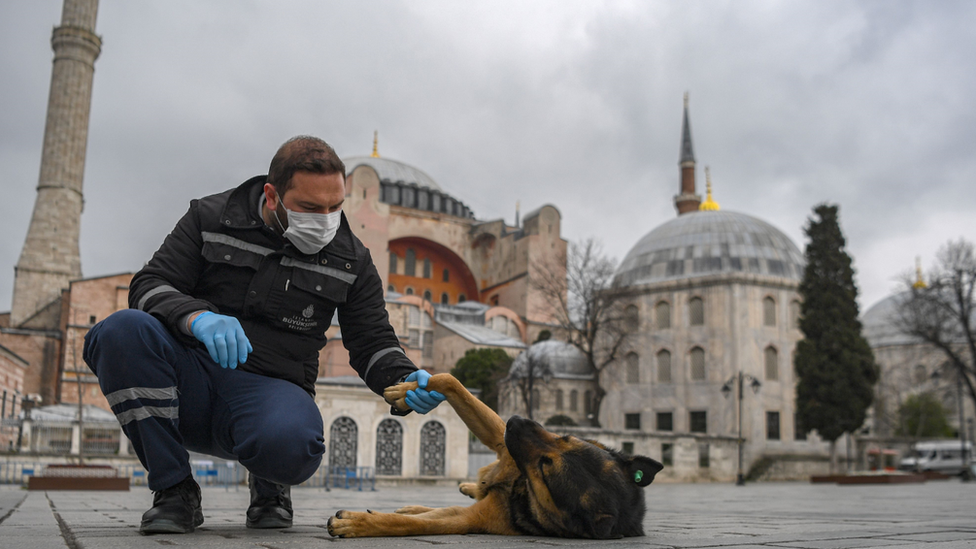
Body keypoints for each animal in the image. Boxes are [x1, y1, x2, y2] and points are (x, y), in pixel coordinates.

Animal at [328, 370, 664, 536]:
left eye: (546, 467)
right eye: (566, 437)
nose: (516, 419)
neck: (519, 486)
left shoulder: (470, 519)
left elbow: (415, 524)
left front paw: (358, 523)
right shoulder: (501, 442)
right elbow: (449, 380)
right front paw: (407, 390)